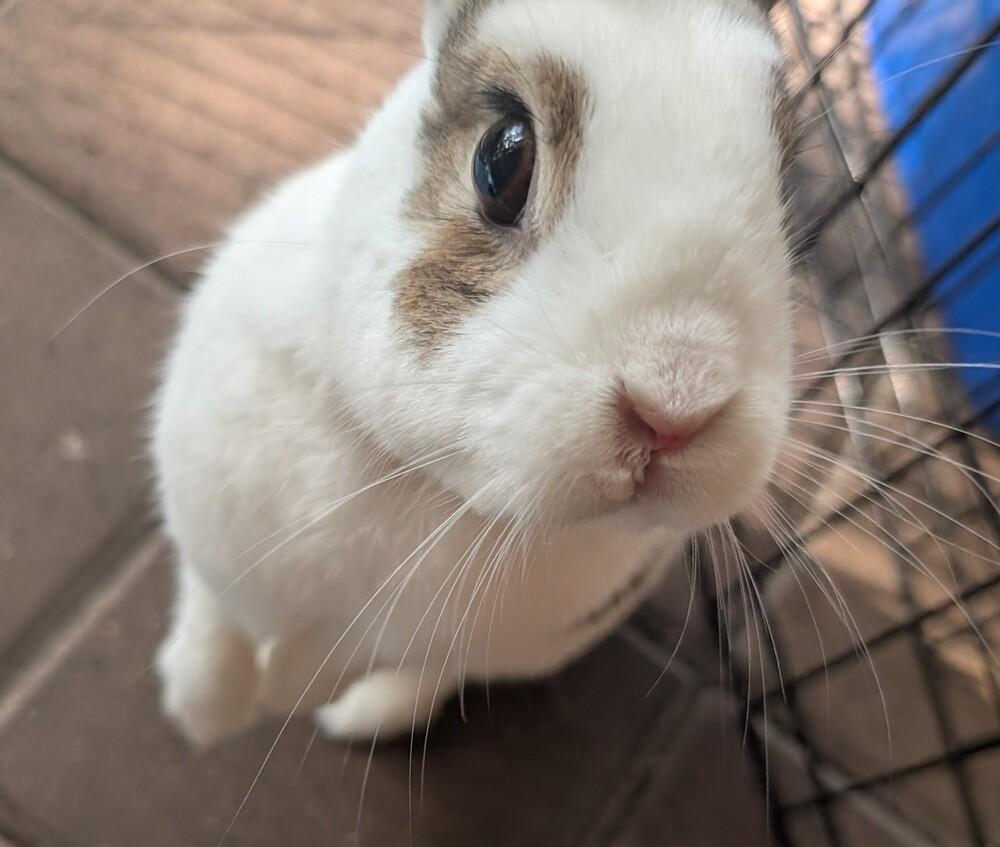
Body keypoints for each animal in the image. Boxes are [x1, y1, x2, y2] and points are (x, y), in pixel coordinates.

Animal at [152, 0, 793, 748]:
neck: (411, 473)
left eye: (786, 191)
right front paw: (200, 714)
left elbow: (336, 658)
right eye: (504, 158)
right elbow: (211, 616)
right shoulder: (206, 520)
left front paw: (280, 694)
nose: (675, 407)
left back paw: (357, 718)